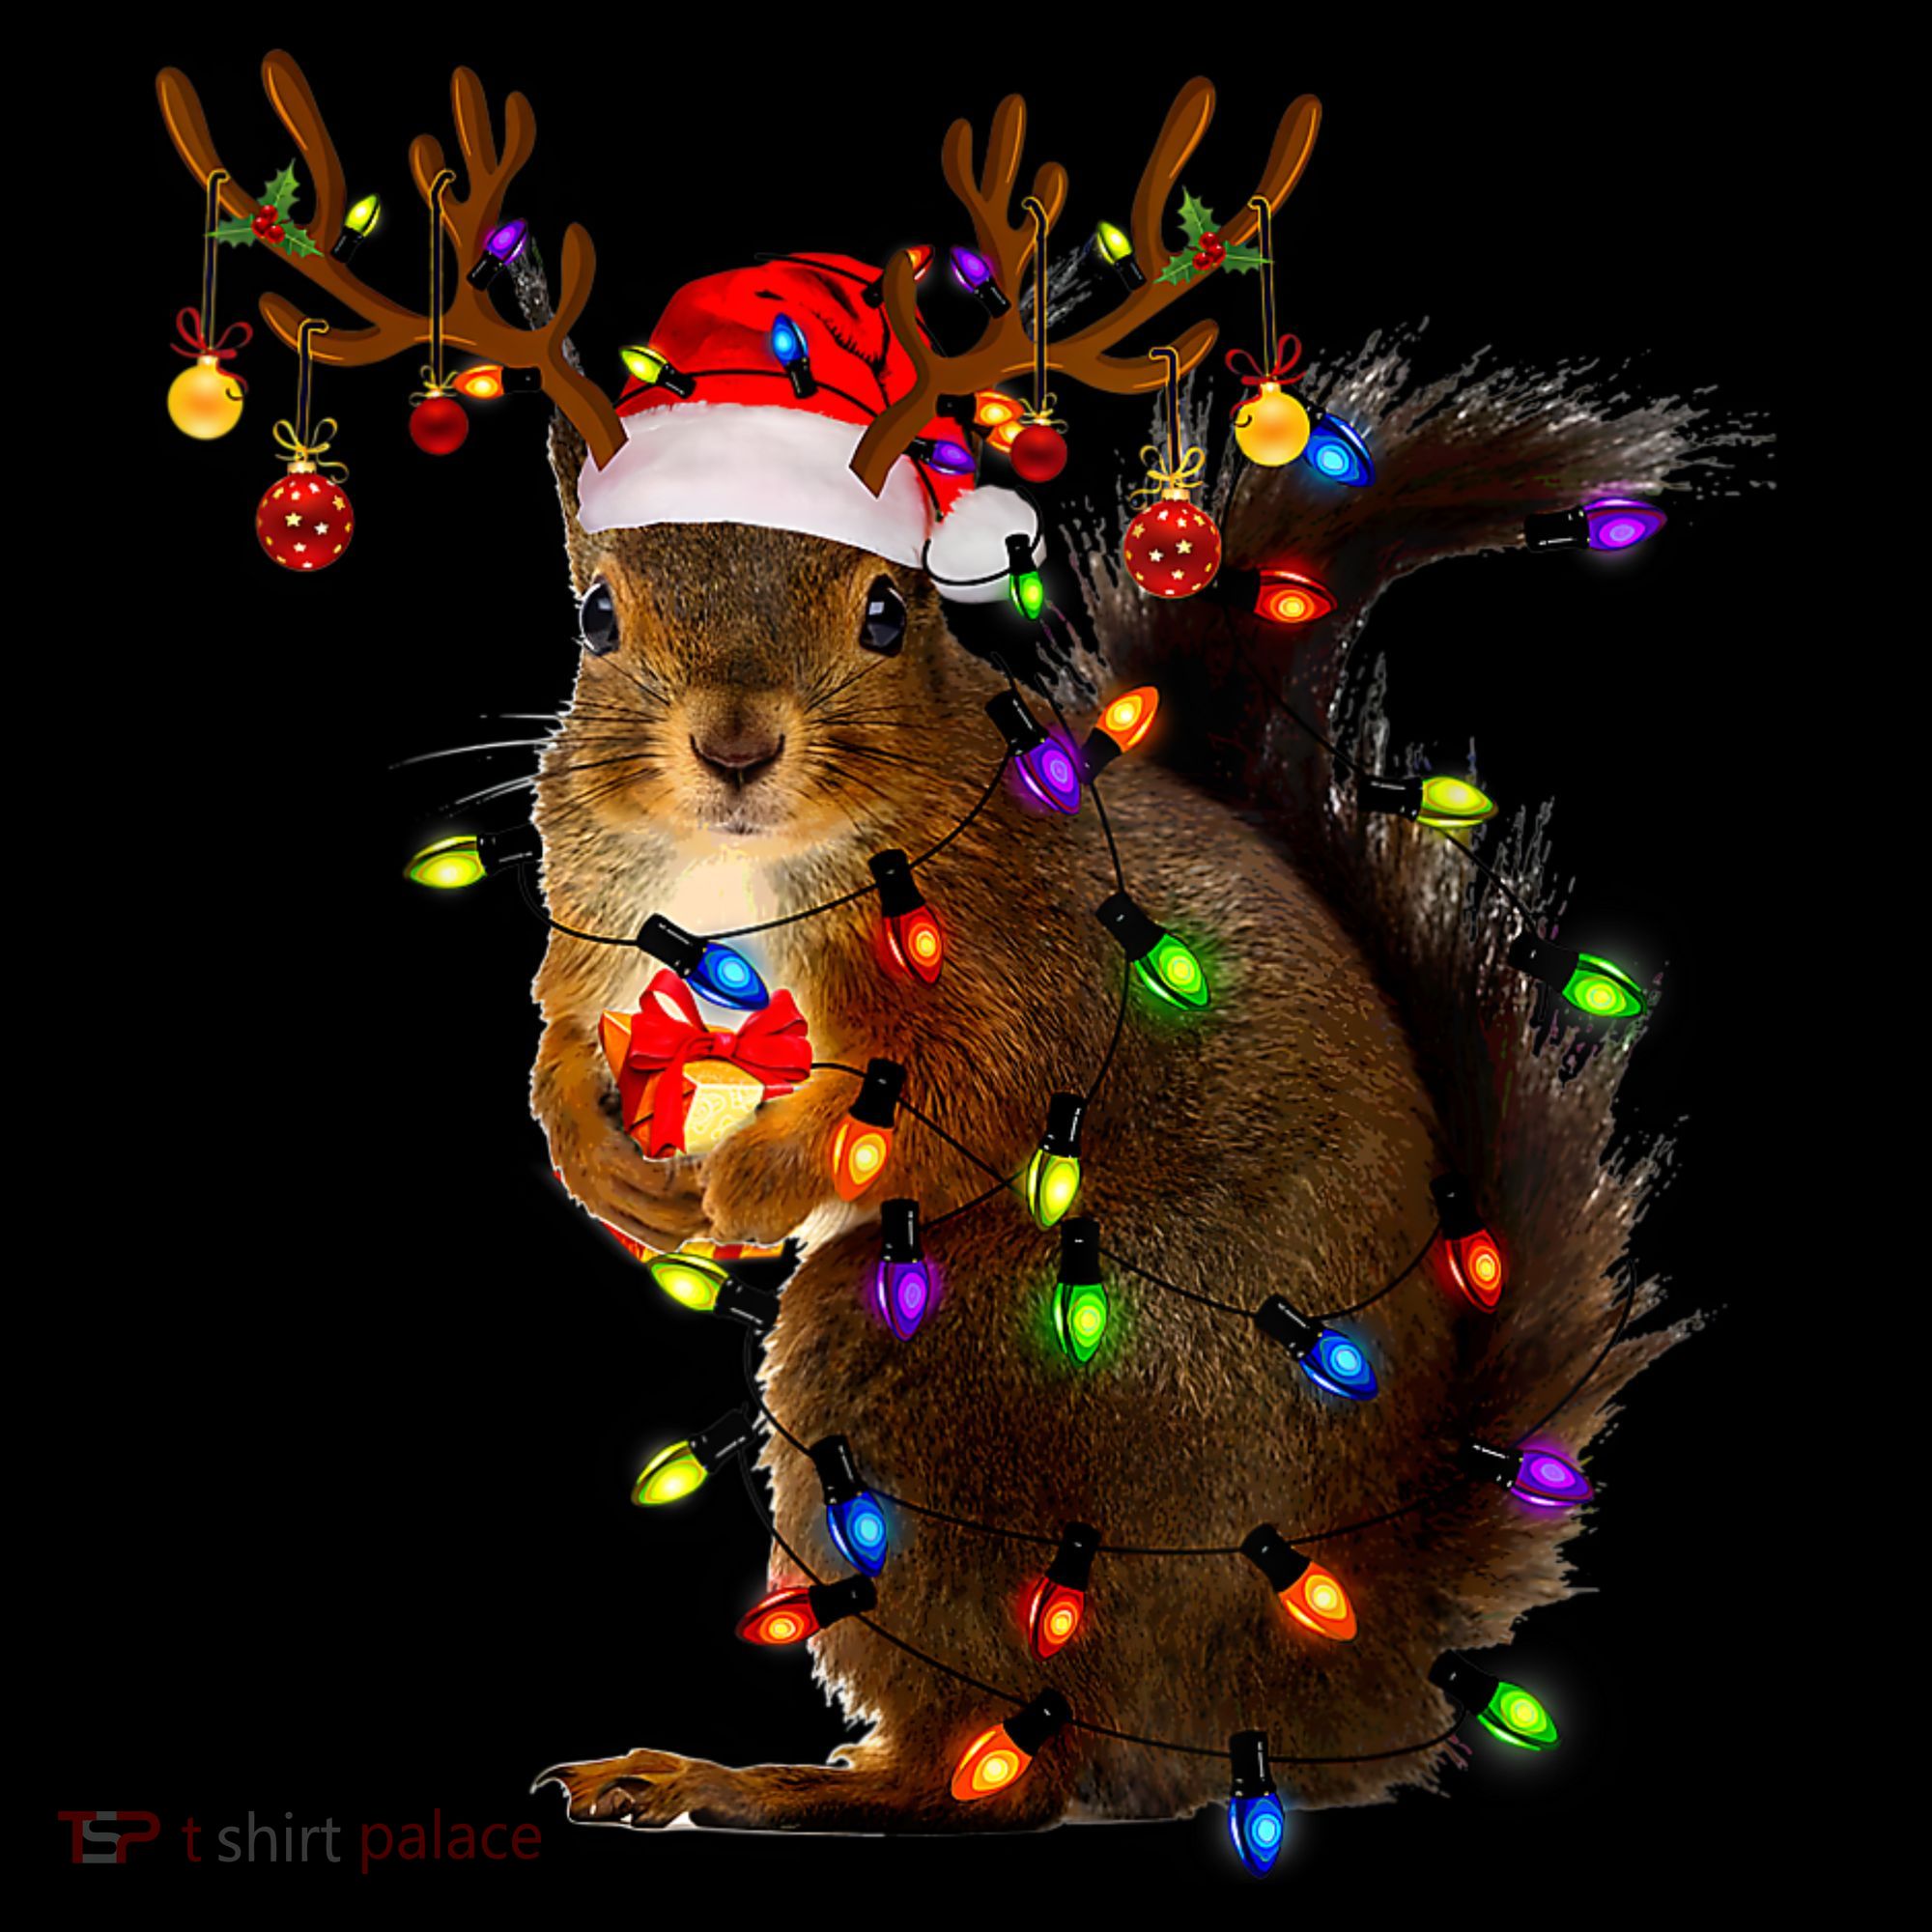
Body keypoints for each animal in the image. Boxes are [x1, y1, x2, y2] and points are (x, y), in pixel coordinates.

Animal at [528, 339, 1704, 1832]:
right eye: (595, 615)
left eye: (887, 616)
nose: (733, 750)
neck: (742, 875)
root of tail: (1335, 1673)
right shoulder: (599, 910)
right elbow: (562, 1032)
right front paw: (601, 1162)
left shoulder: (1019, 947)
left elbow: (959, 1101)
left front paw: (748, 1176)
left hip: (939, 1387)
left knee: (1001, 1778)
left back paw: (745, 1780)